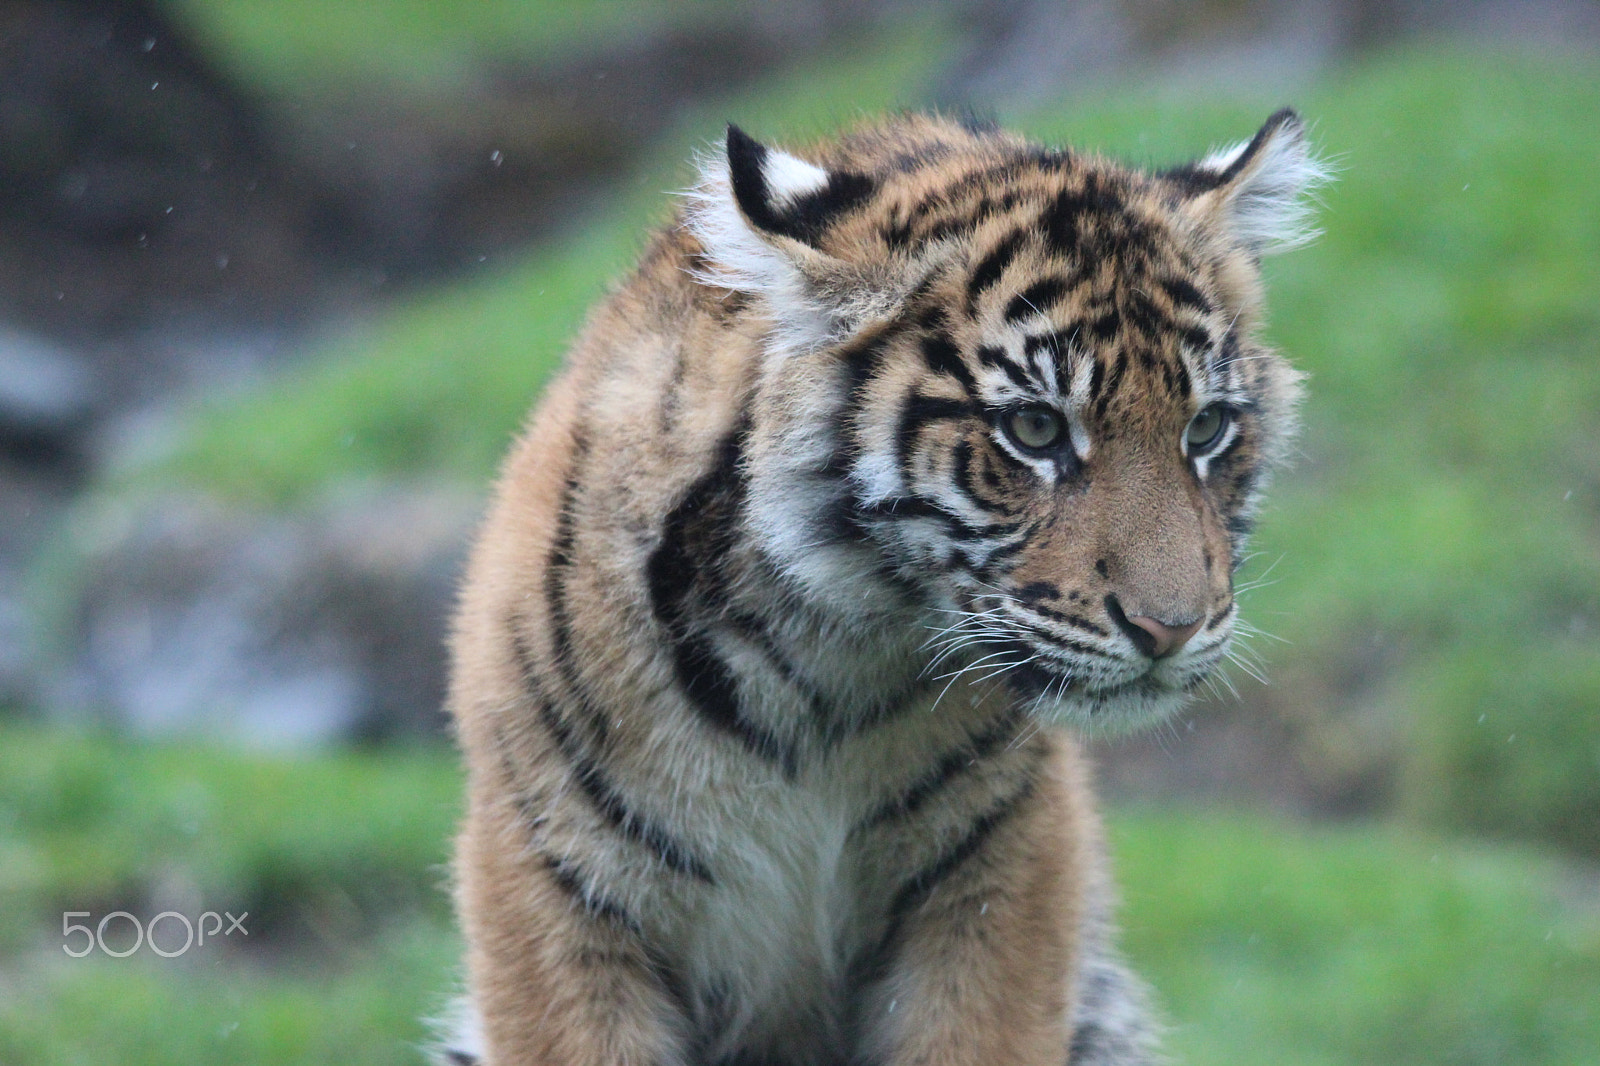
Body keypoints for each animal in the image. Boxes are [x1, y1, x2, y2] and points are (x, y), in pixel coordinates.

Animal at [440, 108, 1324, 1066]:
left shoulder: (998, 873)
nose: (1172, 629)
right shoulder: (555, 886)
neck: (822, 654)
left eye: (1206, 429)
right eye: (1035, 429)